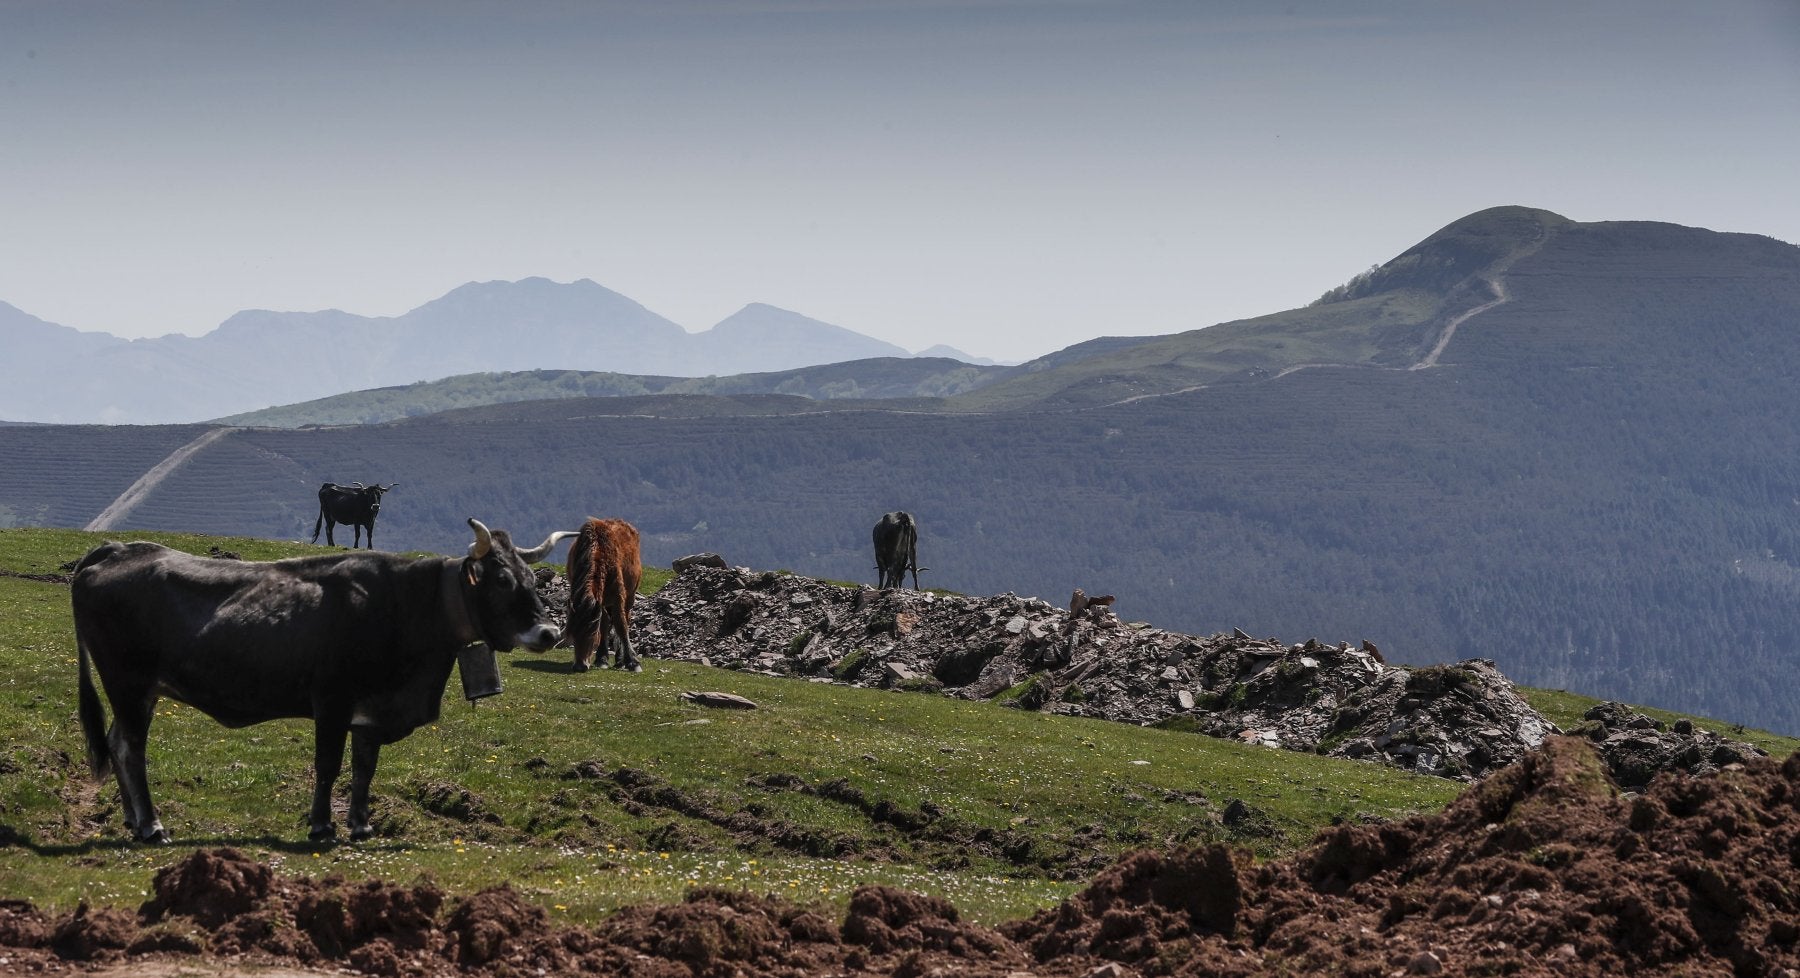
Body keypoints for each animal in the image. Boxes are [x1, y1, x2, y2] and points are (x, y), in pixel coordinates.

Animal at [70, 515, 572, 846]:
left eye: (531, 578)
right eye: (502, 579)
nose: (549, 633)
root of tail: (120, 549)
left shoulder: (371, 708)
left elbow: (365, 766)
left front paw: (362, 824)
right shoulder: (332, 700)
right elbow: (329, 765)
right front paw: (321, 826)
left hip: (139, 692)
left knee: (116, 743)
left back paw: (133, 821)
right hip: (128, 684)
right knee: (132, 749)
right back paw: (152, 825)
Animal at [568, 518, 648, 673]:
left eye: (593, 636)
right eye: (572, 635)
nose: (580, 666)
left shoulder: (618, 596)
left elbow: (621, 625)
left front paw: (633, 662)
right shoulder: (601, 601)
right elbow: (604, 624)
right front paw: (601, 659)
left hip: (630, 596)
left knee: (625, 618)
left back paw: (620, 660)